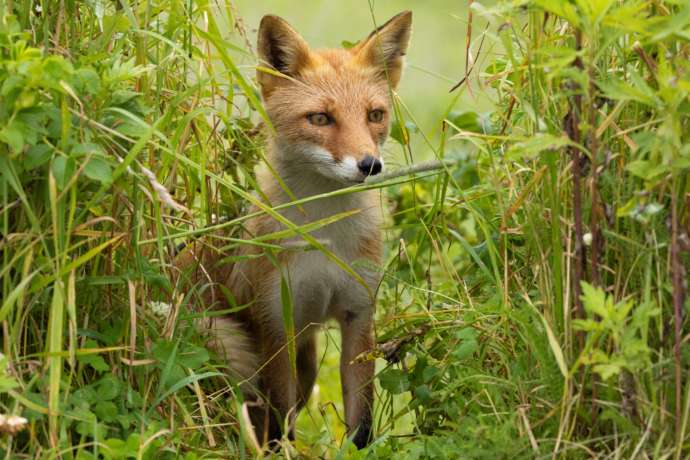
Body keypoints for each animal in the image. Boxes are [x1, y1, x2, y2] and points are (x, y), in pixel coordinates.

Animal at [176, 9, 408, 450]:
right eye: (320, 118)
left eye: (374, 115)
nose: (370, 164)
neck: (326, 235)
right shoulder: (275, 322)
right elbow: (279, 421)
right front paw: (280, 453)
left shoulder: (358, 315)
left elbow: (361, 420)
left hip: (308, 363)